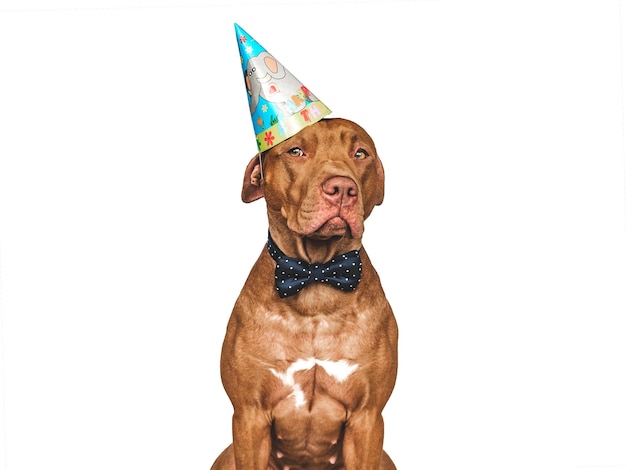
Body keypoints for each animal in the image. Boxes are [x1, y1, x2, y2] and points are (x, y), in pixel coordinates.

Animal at [210, 117, 394, 470]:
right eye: (296, 151)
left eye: (360, 153)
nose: (343, 189)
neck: (316, 282)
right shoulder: (249, 416)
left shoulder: (366, 418)